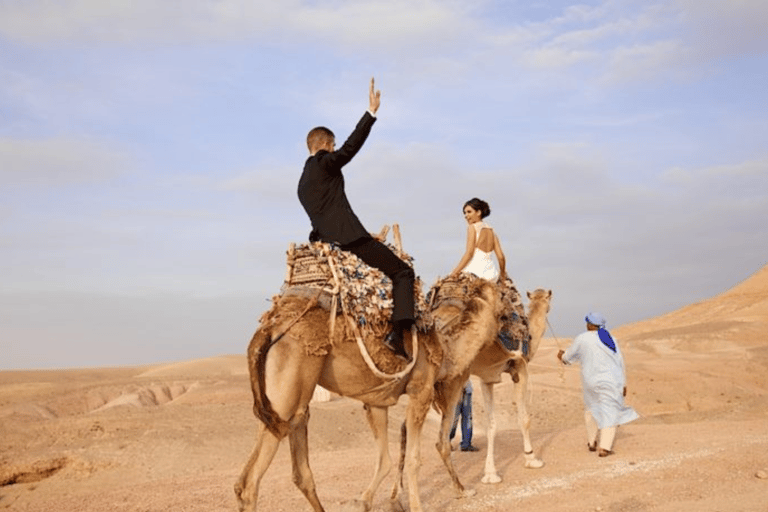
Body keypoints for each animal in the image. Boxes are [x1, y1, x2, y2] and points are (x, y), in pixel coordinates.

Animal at [234, 240, 498, 512]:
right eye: (500, 296)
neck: (445, 350)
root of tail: (268, 328)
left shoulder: (377, 402)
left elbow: (385, 459)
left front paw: (371, 501)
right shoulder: (421, 390)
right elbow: (416, 457)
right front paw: (424, 502)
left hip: (284, 397)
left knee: (298, 463)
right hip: (290, 379)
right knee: (250, 482)